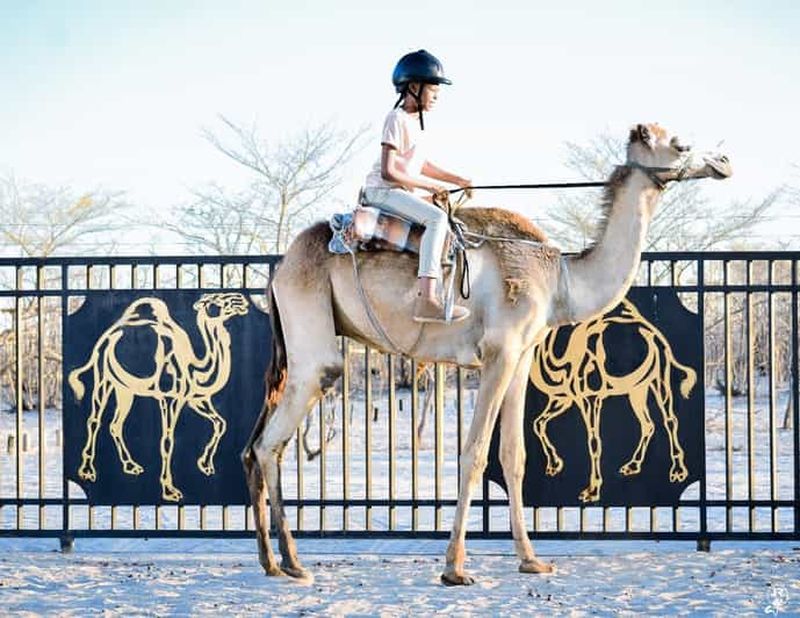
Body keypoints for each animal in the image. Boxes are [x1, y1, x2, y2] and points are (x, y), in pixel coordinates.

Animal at [69, 292, 249, 502]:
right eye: (216, 300)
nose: (240, 299)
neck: (194, 369)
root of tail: (104, 338)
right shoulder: (169, 398)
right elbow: (167, 441)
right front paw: (169, 490)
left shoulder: (195, 398)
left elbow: (220, 423)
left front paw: (205, 464)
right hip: (103, 374)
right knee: (94, 419)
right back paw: (87, 471)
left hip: (125, 388)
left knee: (115, 424)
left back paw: (131, 466)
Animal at [531, 298, 697, 503]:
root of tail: (655, 334)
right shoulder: (564, 398)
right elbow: (538, 424)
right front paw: (554, 465)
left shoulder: (590, 396)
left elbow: (594, 441)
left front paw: (592, 491)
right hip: (637, 389)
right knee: (647, 424)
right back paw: (632, 466)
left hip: (659, 375)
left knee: (670, 419)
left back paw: (678, 472)